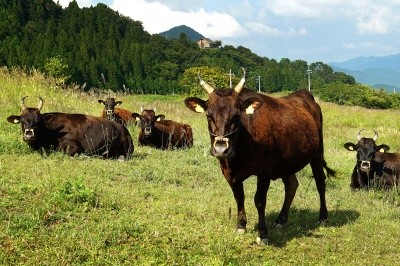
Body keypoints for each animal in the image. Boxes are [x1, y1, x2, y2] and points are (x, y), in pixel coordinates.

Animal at [184, 69, 334, 245]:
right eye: (209, 116)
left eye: (237, 116)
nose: (221, 149)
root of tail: (304, 94)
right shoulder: (228, 171)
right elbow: (239, 197)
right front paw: (241, 225)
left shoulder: (264, 171)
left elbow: (259, 200)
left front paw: (262, 233)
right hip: (287, 161)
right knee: (292, 185)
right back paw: (281, 220)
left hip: (317, 153)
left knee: (320, 182)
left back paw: (323, 217)